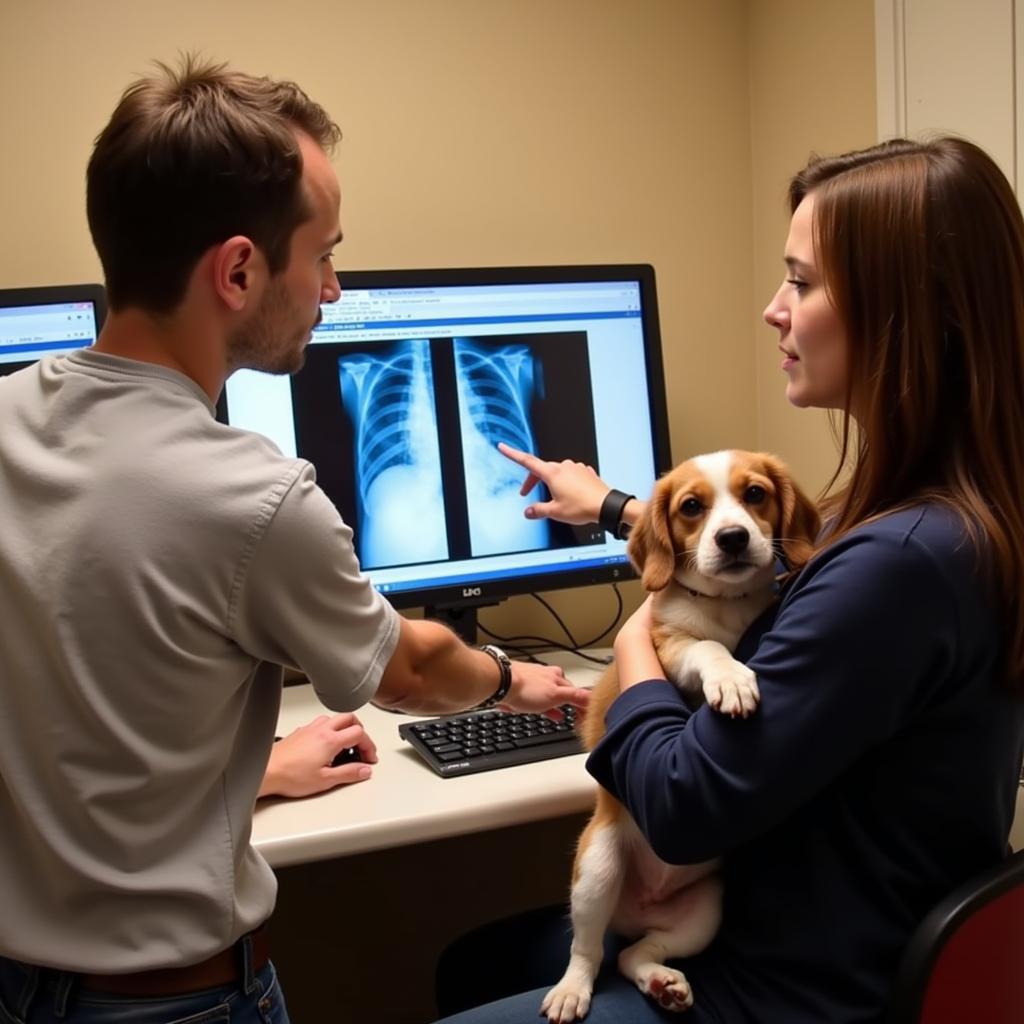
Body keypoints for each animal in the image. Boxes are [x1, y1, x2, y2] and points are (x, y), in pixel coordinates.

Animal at [540, 452, 819, 1019]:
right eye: (691, 506)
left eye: (755, 495)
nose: (733, 538)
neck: (727, 606)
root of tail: (638, 910)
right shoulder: (669, 646)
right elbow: (707, 648)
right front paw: (731, 678)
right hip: (597, 870)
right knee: (588, 949)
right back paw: (572, 989)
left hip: (705, 910)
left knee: (635, 954)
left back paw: (661, 981)